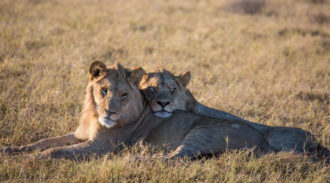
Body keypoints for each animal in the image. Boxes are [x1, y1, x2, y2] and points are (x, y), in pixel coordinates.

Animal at [0, 61, 268, 159]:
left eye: (124, 94)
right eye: (104, 90)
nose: (110, 113)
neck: (93, 114)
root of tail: (263, 141)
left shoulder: (100, 146)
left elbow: (55, 151)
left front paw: (32, 160)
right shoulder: (80, 134)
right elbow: (44, 141)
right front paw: (12, 149)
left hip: (200, 133)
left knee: (176, 158)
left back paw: (134, 157)